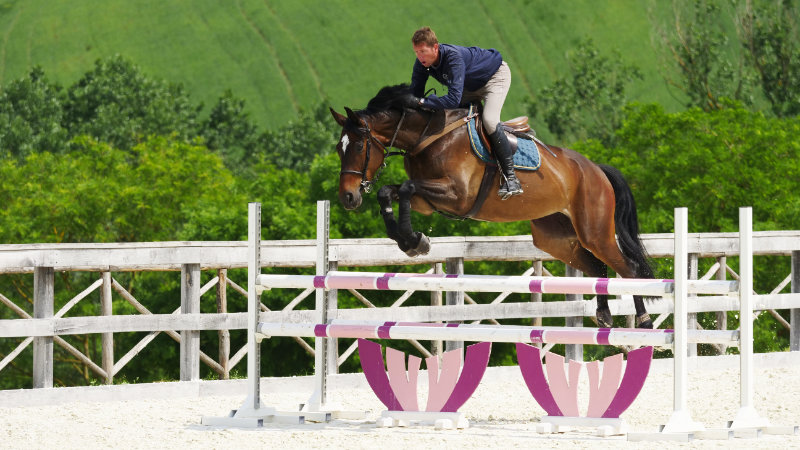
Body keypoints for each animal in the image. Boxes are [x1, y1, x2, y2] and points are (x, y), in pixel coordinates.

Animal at [332, 84, 656, 328]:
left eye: (358, 146)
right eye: (338, 148)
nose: (348, 197)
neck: (428, 135)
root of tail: (596, 169)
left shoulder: (457, 195)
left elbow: (407, 188)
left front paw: (414, 241)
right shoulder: (428, 202)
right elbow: (389, 192)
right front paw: (410, 241)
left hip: (594, 230)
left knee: (627, 267)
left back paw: (643, 320)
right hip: (556, 238)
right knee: (598, 266)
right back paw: (603, 314)